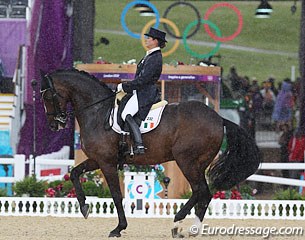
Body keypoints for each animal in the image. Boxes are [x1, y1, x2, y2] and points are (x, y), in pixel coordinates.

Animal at [39, 69, 258, 238]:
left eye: (48, 96)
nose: (54, 124)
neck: (98, 111)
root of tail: (219, 119)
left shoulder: (106, 162)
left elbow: (116, 194)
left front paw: (118, 228)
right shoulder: (97, 159)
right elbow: (75, 173)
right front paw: (84, 208)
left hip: (187, 161)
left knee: (200, 190)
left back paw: (179, 223)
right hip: (197, 163)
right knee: (203, 193)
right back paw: (190, 228)